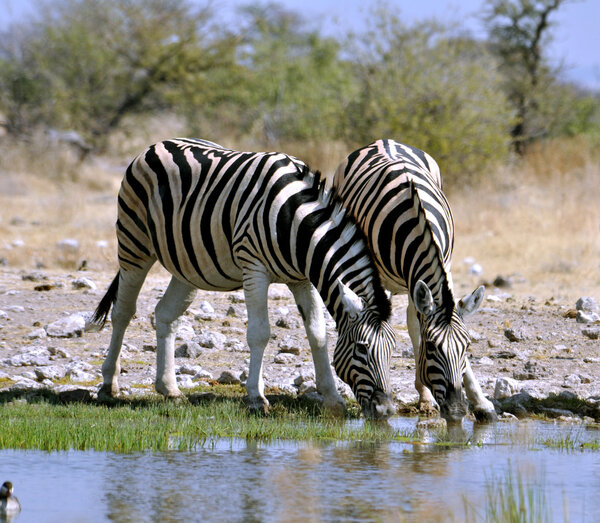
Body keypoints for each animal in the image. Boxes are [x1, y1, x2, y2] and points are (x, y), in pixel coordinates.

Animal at [89, 138, 396, 422]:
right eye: (362, 349)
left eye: (393, 350)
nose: (386, 411)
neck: (297, 225)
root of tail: (155, 145)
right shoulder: (254, 268)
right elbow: (260, 333)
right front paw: (257, 399)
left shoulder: (302, 279)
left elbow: (318, 334)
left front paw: (332, 399)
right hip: (134, 244)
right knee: (122, 312)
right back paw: (108, 385)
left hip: (187, 265)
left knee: (165, 314)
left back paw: (170, 389)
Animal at [332, 138, 496, 422]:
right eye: (432, 348)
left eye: (466, 347)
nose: (456, 410)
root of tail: (383, 141)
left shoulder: (445, 267)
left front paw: (481, 401)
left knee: (412, 320)